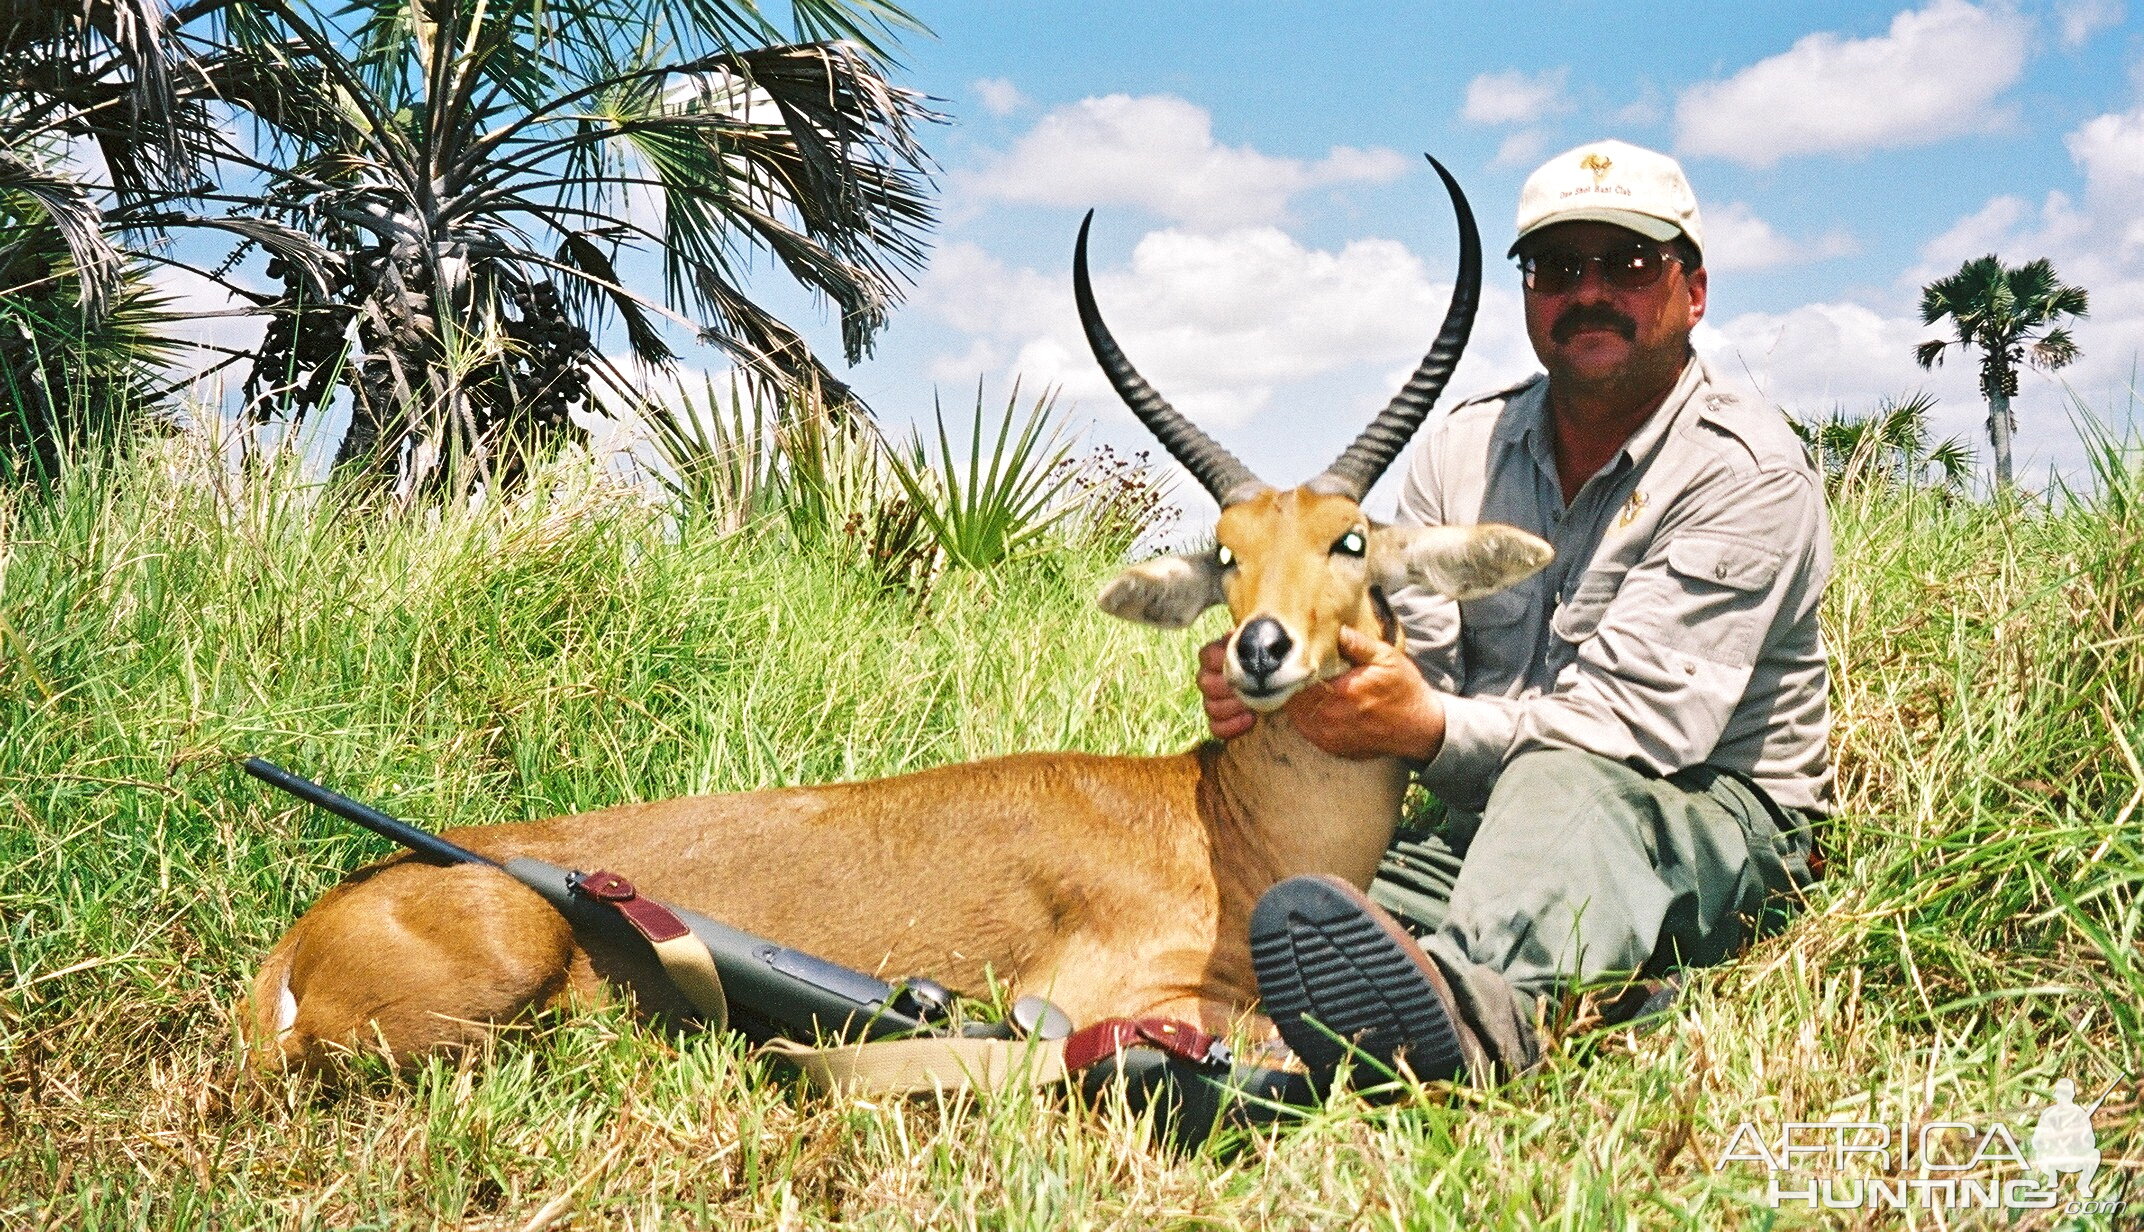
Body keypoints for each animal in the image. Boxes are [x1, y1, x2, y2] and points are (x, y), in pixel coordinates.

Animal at [250, 161, 1552, 1071]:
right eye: (1225, 555)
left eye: (1350, 540)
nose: (1260, 647)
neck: (1220, 830)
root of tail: (303, 936)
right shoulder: (1109, 1002)